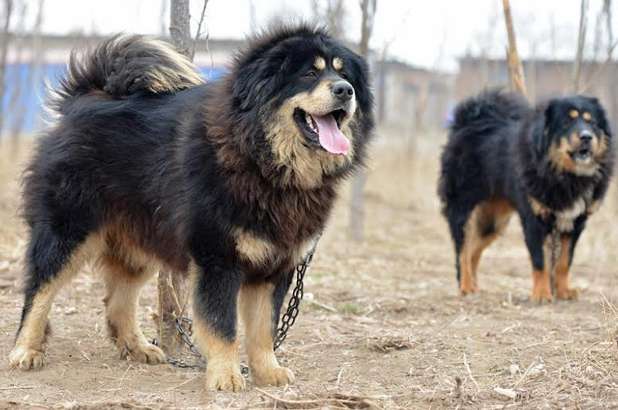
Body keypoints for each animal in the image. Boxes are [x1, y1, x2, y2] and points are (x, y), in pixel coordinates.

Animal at [9, 25, 372, 390]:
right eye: (309, 73)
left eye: (343, 74)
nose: (346, 90)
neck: (264, 165)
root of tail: (85, 100)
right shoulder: (217, 258)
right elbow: (222, 325)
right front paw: (226, 376)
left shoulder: (276, 266)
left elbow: (263, 329)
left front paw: (268, 372)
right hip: (68, 231)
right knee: (39, 290)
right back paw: (25, 350)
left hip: (139, 239)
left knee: (117, 301)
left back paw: (138, 347)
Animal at [438, 90, 612, 302]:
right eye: (566, 122)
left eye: (591, 122)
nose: (587, 137)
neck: (564, 174)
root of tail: (468, 122)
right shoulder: (534, 219)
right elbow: (540, 261)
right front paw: (542, 294)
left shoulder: (575, 222)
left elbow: (564, 262)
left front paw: (563, 292)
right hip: (464, 208)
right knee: (462, 251)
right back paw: (465, 285)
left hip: (493, 221)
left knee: (473, 250)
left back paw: (474, 286)